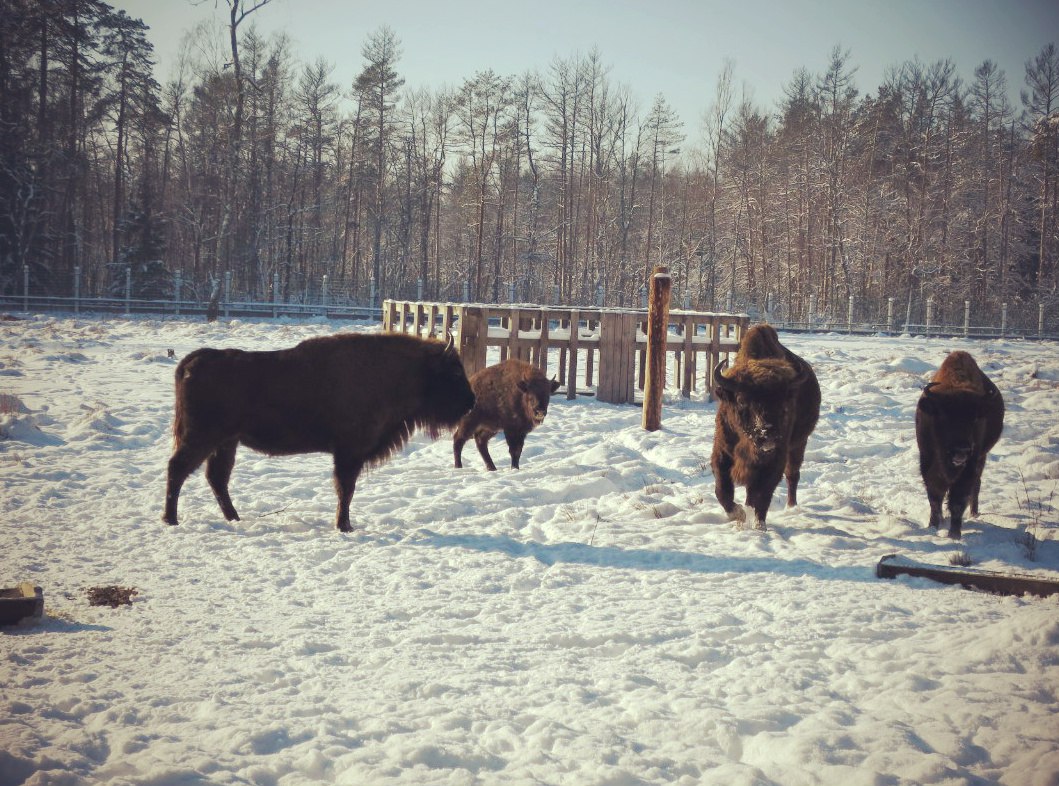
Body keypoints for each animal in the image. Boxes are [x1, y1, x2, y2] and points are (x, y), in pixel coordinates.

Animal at [162, 332, 476, 536]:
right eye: (454, 372)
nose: (471, 401)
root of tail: (193, 361)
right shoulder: (349, 453)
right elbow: (345, 488)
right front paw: (344, 526)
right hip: (202, 437)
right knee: (178, 468)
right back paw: (171, 520)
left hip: (226, 442)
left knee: (216, 477)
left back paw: (234, 518)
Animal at [711, 324, 817, 531]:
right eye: (742, 399)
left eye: (784, 401)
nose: (768, 434)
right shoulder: (722, 453)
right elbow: (722, 490)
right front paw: (739, 515)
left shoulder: (774, 460)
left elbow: (762, 494)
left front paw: (759, 525)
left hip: (799, 444)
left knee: (792, 475)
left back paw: (791, 506)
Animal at [914, 351, 1003, 542]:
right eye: (943, 416)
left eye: (974, 418)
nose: (961, 450)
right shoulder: (927, 461)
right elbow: (935, 496)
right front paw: (933, 525)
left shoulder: (970, 465)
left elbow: (958, 500)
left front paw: (954, 534)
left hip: (981, 458)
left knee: (976, 485)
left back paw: (974, 513)